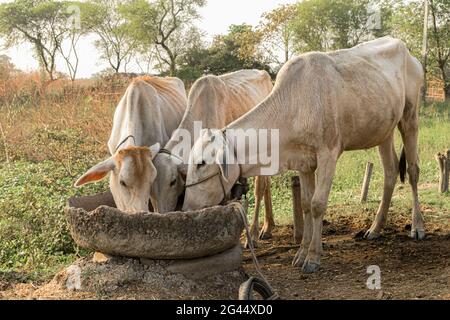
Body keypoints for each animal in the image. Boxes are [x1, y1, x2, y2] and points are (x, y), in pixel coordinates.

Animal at [182, 37, 426, 272]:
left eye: (201, 163)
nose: (185, 207)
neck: (294, 105)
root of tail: (406, 50)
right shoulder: (303, 162)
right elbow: (306, 204)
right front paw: (301, 253)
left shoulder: (328, 154)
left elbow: (318, 204)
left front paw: (313, 257)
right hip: (384, 131)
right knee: (390, 172)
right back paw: (375, 228)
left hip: (410, 117)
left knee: (413, 170)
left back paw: (417, 226)